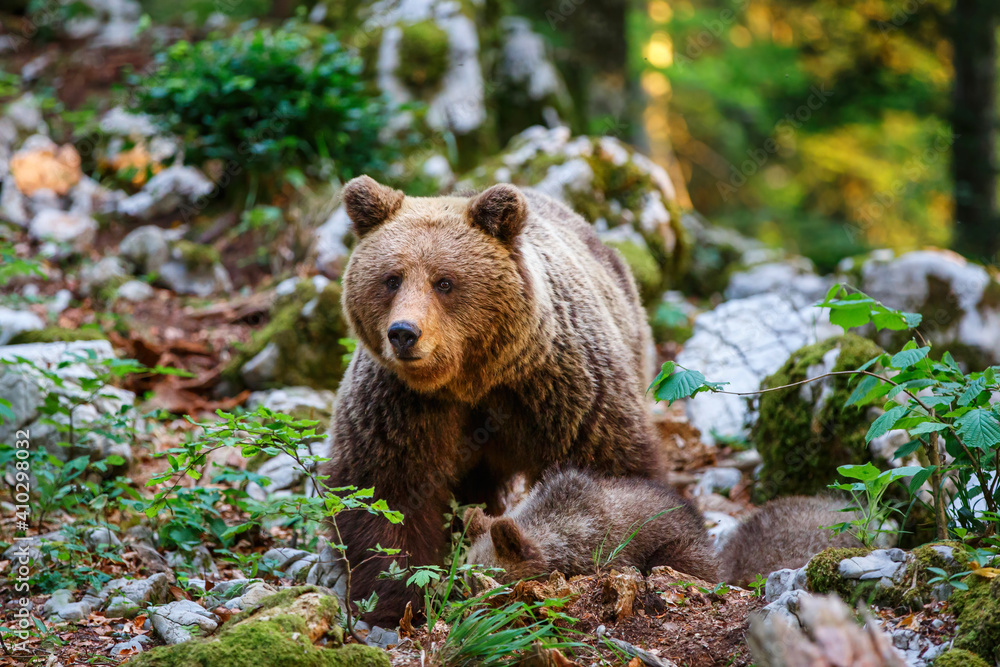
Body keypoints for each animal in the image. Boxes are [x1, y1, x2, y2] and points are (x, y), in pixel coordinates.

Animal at [325, 176, 663, 625]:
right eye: (392, 278)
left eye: (444, 281)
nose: (403, 333)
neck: (470, 379)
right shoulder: (400, 407)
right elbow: (385, 491)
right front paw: (396, 599)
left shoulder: (561, 389)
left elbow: (607, 464)